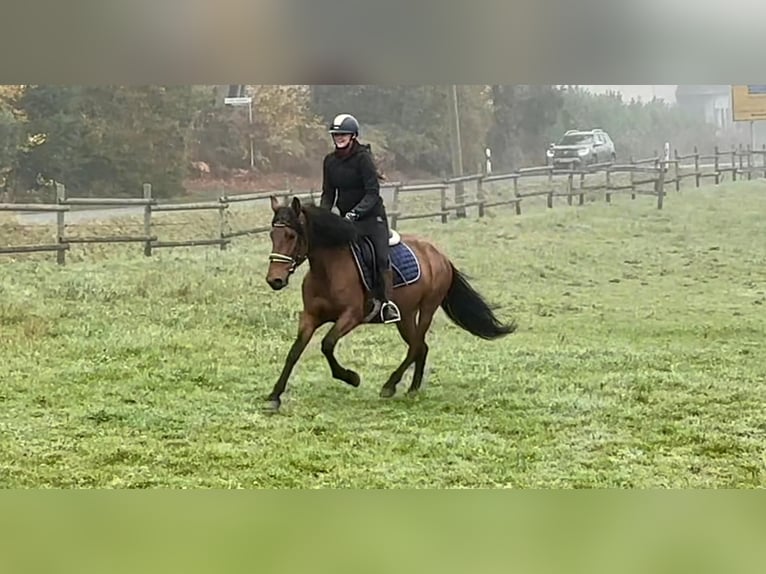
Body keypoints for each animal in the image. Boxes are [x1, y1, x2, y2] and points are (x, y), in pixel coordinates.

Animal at [260, 197, 520, 414]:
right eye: (272, 235)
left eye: (291, 236)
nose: (275, 280)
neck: (328, 269)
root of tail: (440, 256)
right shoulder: (310, 317)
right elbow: (294, 352)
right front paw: (274, 396)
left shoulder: (352, 316)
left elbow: (327, 344)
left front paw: (351, 377)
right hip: (405, 315)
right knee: (420, 347)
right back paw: (412, 389)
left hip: (427, 308)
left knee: (416, 347)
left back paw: (390, 386)